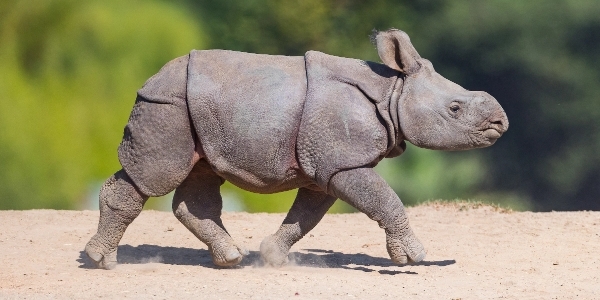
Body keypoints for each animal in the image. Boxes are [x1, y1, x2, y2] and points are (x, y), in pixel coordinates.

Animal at [84, 29, 506, 270]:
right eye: (455, 109)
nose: (501, 123)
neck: (392, 91)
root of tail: (151, 78)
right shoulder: (343, 162)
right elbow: (386, 201)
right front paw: (413, 258)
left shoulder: (328, 166)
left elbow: (307, 214)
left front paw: (272, 256)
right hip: (167, 105)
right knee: (154, 176)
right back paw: (101, 262)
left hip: (196, 110)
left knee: (200, 177)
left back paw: (231, 260)